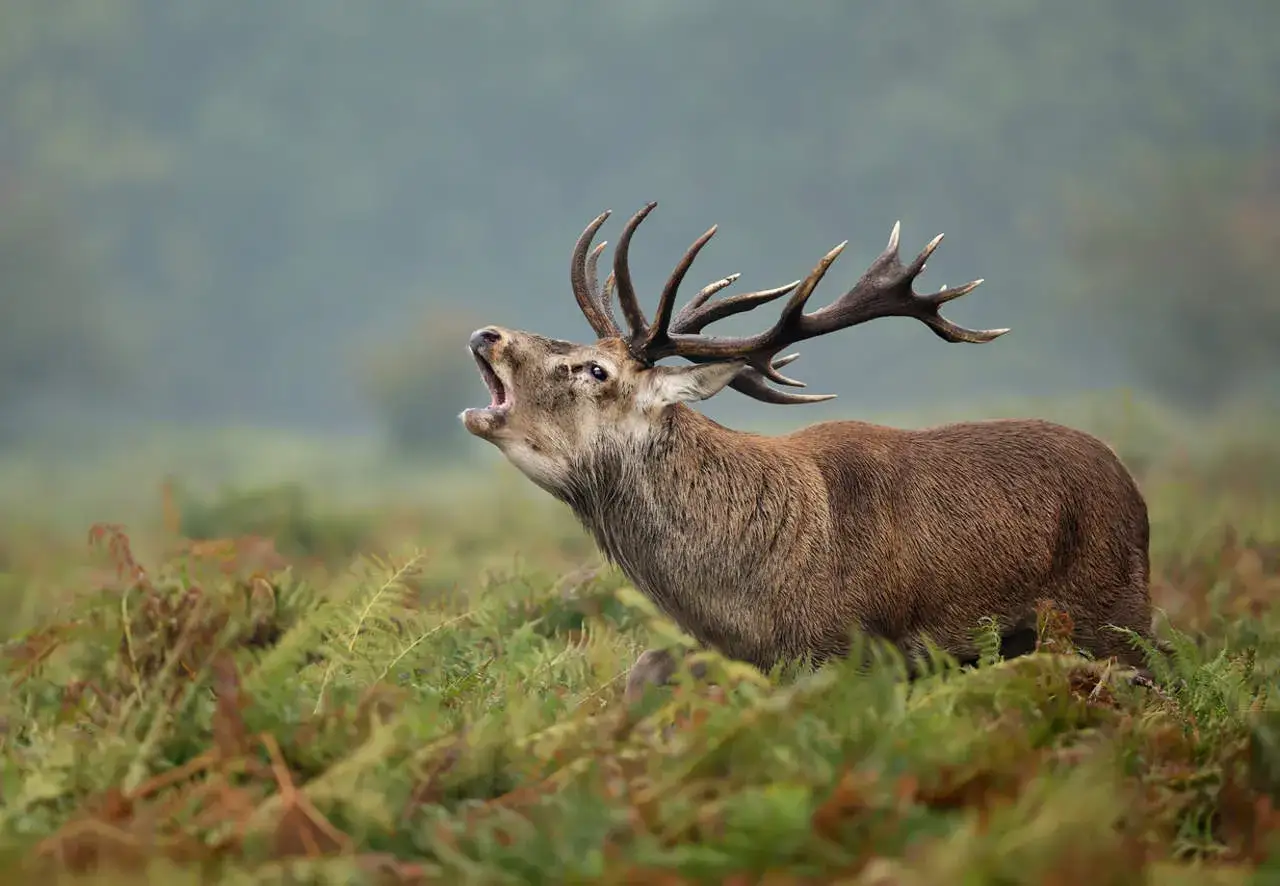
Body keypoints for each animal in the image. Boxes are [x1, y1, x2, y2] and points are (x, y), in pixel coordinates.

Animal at [460, 202, 1155, 702]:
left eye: (596, 370)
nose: (487, 333)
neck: (750, 601)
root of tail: (1136, 497)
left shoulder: (853, 651)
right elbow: (643, 669)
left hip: (1114, 617)